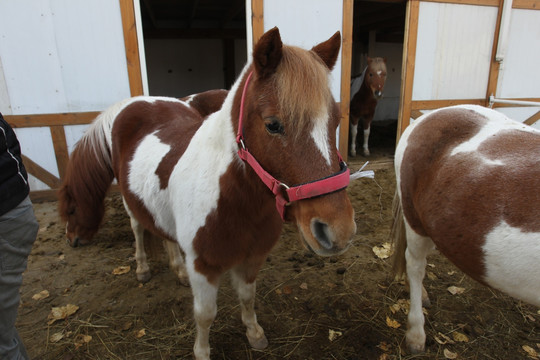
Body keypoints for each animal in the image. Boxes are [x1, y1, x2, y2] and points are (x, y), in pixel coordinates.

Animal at [58, 28, 358, 360]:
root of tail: (135, 103)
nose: (338, 231)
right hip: (129, 201)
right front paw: (202, 352)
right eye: (273, 125)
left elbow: (247, 297)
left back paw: (177, 270)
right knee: (138, 227)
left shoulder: (252, 259)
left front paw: (254, 333)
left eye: (336, 121)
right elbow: (205, 314)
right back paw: (142, 268)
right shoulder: (203, 268)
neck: (233, 199)